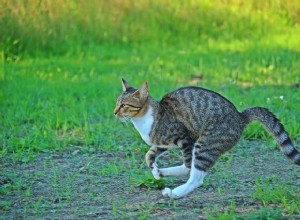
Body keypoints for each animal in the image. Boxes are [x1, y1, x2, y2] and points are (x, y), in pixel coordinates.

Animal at [113, 79, 298, 199]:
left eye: (124, 105)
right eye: (116, 103)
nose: (114, 112)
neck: (144, 119)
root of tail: (240, 116)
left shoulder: (184, 138)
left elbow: (188, 165)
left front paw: (158, 172)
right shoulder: (162, 143)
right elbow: (149, 155)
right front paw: (155, 170)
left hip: (205, 144)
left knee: (196, 176)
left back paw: (175, 193)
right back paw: (164, 173)